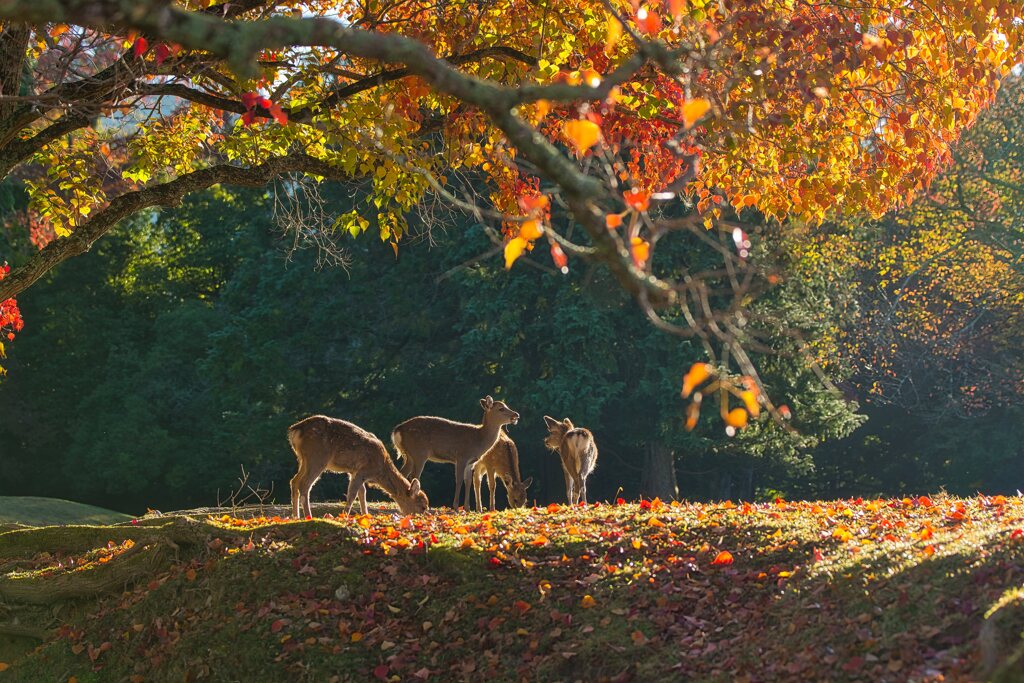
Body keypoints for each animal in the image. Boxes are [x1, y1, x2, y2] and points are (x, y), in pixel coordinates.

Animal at [288, 413, 428, 520]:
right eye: (422, 506)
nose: (420, 518)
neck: (380, 471)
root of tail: (295, 430)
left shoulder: (353, 471)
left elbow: (362, 492)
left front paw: (365, 515)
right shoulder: (362, 471)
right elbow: (352, 494)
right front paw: (344, 516)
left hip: (303, 459)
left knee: (294, 481)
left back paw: (296, 516)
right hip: (317, 457)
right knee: (304, 484)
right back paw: (308, 516)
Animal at [391, 393, 520, 509]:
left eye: (506, 405)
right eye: (501, 408)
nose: (516, 414)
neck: (478, 440)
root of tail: (397, 431)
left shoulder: (471, 462)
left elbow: (468, 481)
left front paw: (467, 508)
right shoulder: (461, 456)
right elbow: (459, 480)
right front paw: (456, 506)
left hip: (409, 455)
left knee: (402, 472)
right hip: (419, 452)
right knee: (414, 475)